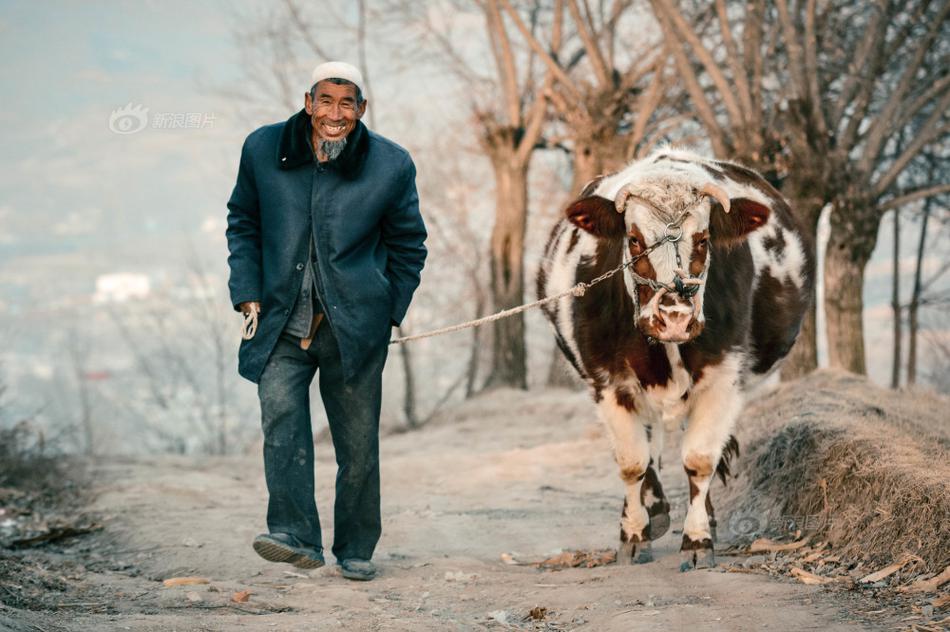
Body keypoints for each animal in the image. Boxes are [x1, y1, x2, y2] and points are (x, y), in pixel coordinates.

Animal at [540, 147, 816, 568]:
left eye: (703, 240)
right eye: (634, 240)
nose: (675, 318)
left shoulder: (723, 379)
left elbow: (700, 459)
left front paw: (698, 539)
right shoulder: (608, 383)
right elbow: (632, 462)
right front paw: (634, 534)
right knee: (650, 446)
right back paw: (652, 511)